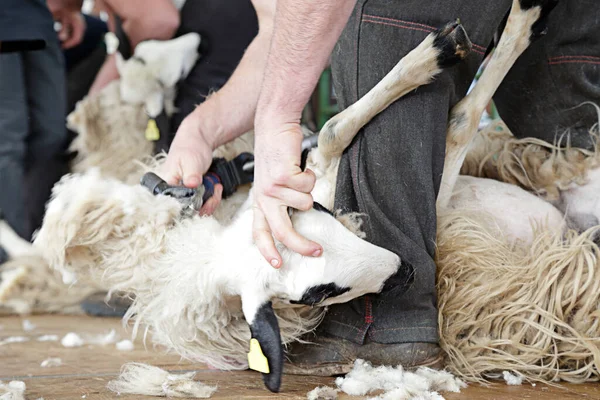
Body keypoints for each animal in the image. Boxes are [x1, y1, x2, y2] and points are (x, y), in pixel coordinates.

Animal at [34, 20, 474, 392]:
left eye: (324, 214)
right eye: (317, 295)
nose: (408, 270)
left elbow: (333, 131)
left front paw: (434, 54)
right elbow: (338, 133)